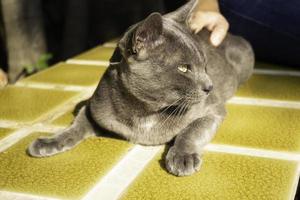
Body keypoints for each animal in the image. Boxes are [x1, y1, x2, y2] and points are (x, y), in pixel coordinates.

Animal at [27, 0, 253, 176]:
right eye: (184, 68)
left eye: (205, 66)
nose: (209, 86)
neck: (146, 111)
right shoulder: (95, 108)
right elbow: (76, 126)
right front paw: (48, 142)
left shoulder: (213, 110)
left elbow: (192, 130)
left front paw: (183, 157)